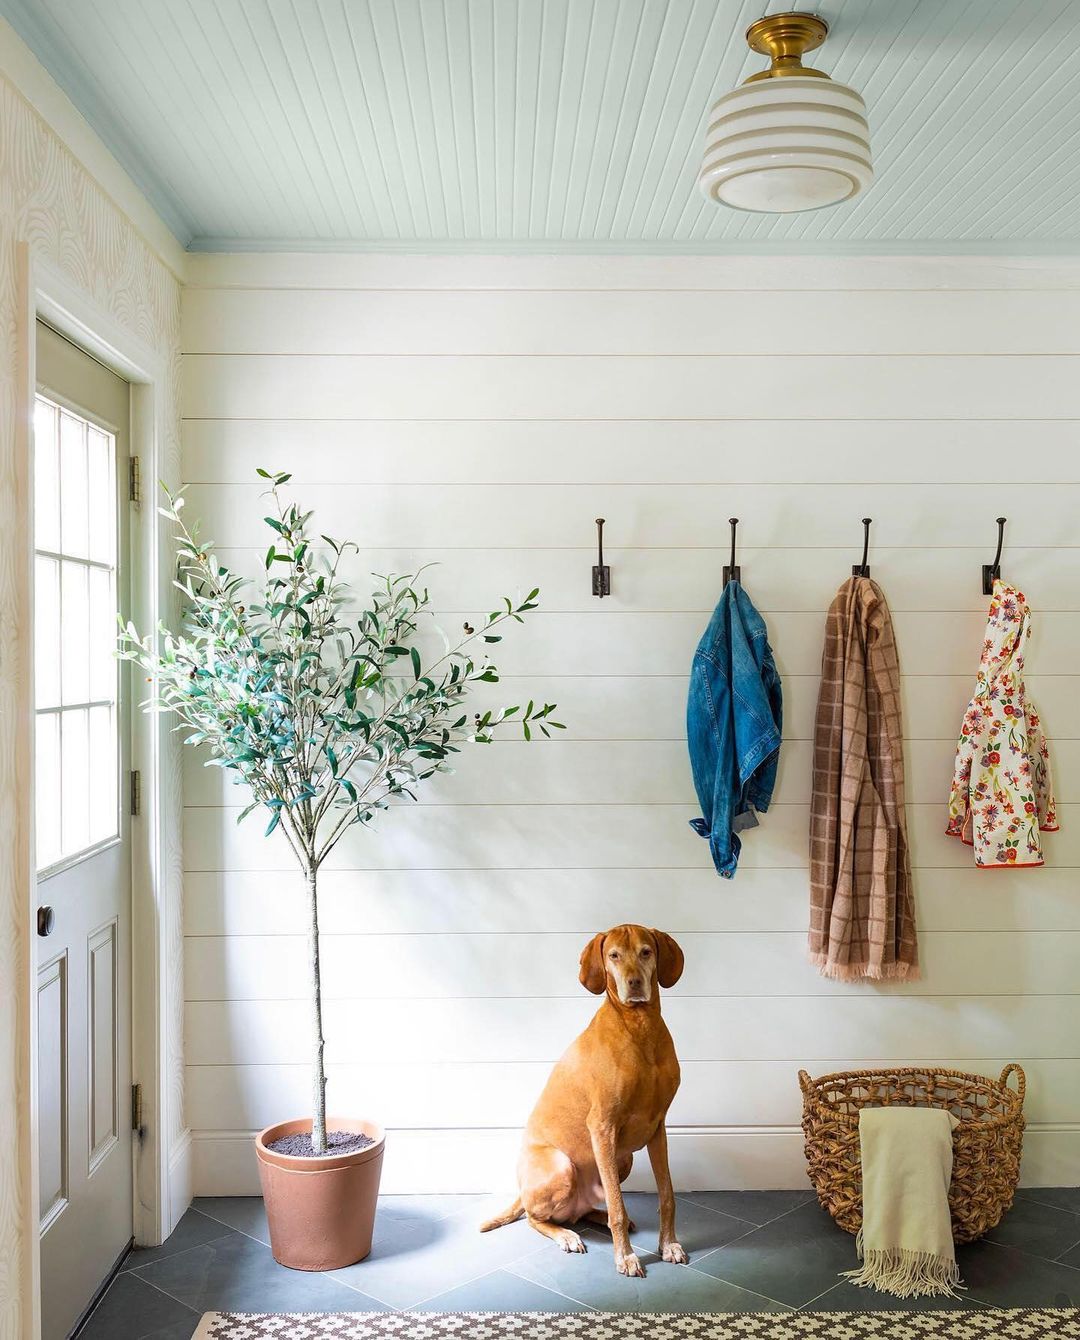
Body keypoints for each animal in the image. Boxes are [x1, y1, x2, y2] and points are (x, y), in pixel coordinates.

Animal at [479, 921, 686, 1275]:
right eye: (614, 955)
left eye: (646, 951)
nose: (634, 983)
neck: (640, 1028)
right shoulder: (602, 1127)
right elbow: (617, 1204)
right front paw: (625, 1256)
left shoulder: (658, 1128)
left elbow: (666, 1195)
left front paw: (668, 1244)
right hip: (563, 1166)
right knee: (535, 1217)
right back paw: (566, 1236)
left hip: (623, 1158)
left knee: (583, 1210)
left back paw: (596, 1217)